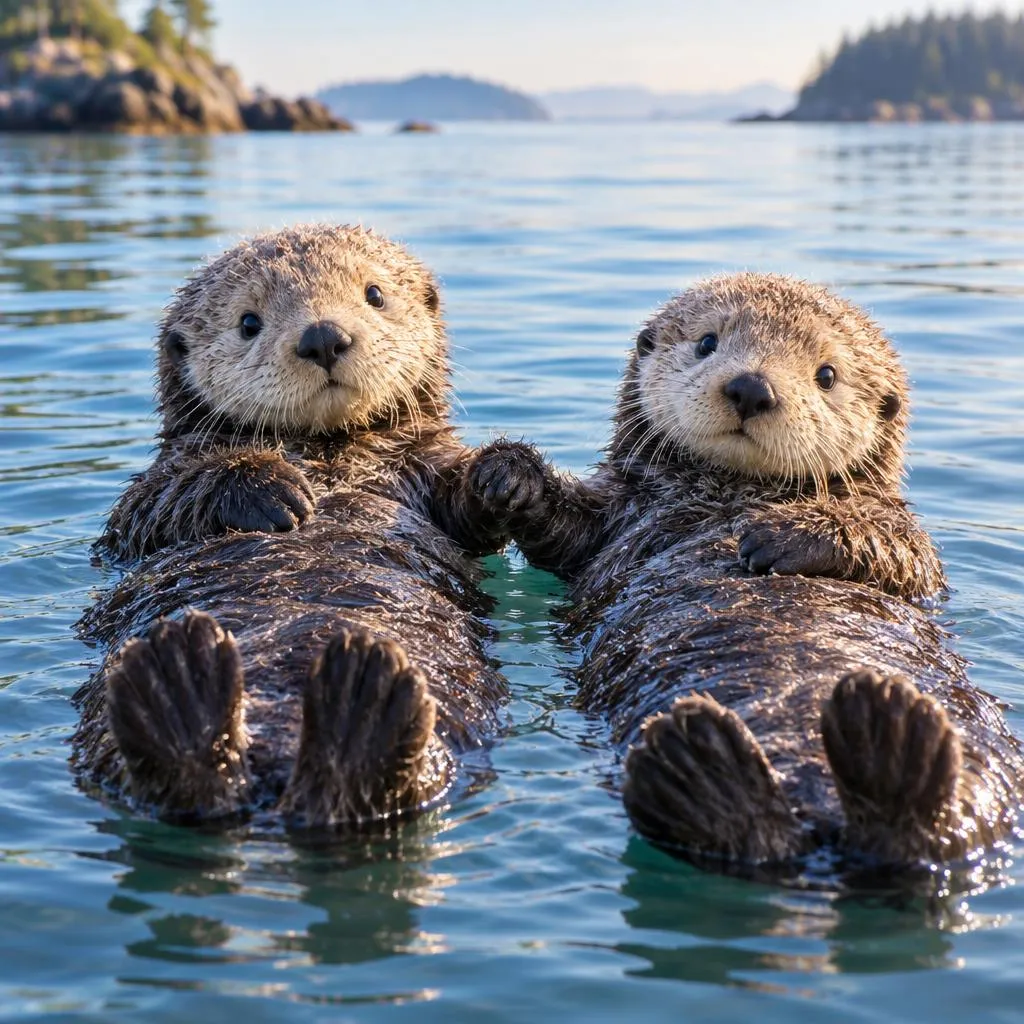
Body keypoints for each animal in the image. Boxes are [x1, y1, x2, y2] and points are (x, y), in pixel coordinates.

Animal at [73, 224, 534, 827]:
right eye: (248, 322)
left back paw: (351, 705)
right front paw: (275, 492)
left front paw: (507, 474)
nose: (323, 337)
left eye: (374, 294)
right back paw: (183, 687)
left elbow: (468, 513)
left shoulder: (424, 465)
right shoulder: (150, 493)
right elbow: (151, 508)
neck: (327, 450)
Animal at [470, 273, 1024, 869]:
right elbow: (564, 533)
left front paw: (772, 538)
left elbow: (898, 548)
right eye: (707, 343)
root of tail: (822, 838)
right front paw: (507, 474)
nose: (751, 388)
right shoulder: (616, 516)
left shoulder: (904, 537)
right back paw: (716, 762)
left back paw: (883, 731)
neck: (734, 492)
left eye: (827, 375)